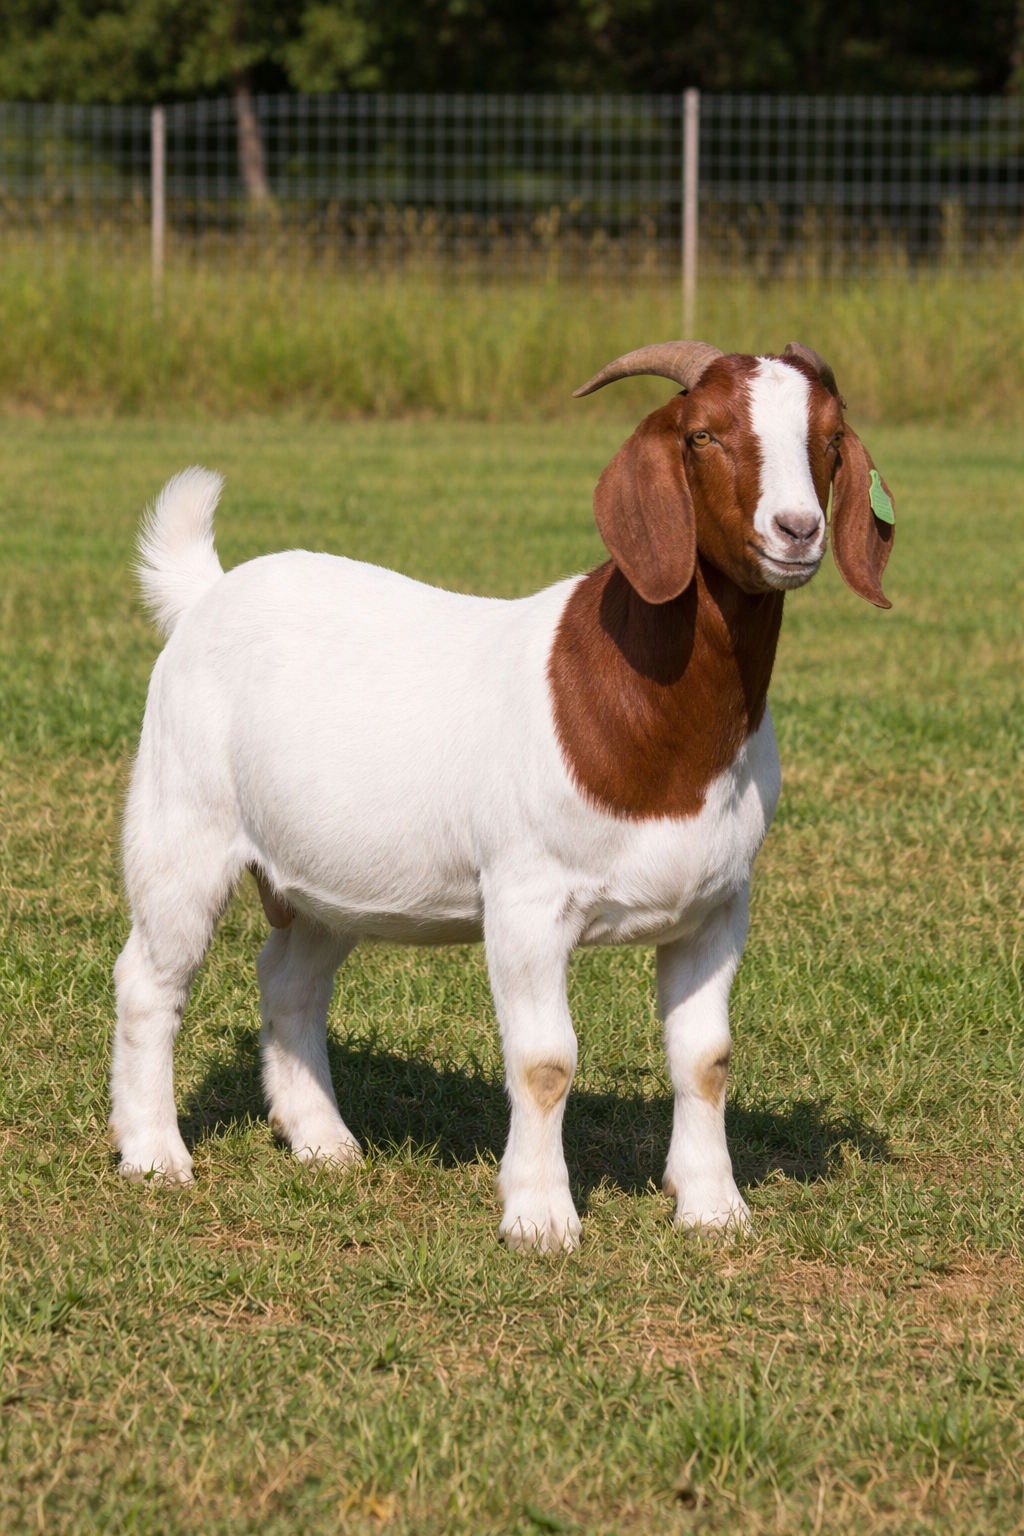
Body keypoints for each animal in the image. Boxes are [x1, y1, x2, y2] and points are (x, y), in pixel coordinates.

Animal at [111, 340, 895, 1251]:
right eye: (703, 434)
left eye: (830, 438)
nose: (796, 531)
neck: (660, 727)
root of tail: (206, 593)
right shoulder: (527, 900)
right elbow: (545, 1061)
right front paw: (541, 1217)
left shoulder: (717, 905)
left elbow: (705, 1058)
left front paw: (712, 1208)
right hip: (181, 821)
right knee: (150, 979)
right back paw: (154, 1154)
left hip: (325, 875)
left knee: (290, 980)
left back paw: (323, 1141)